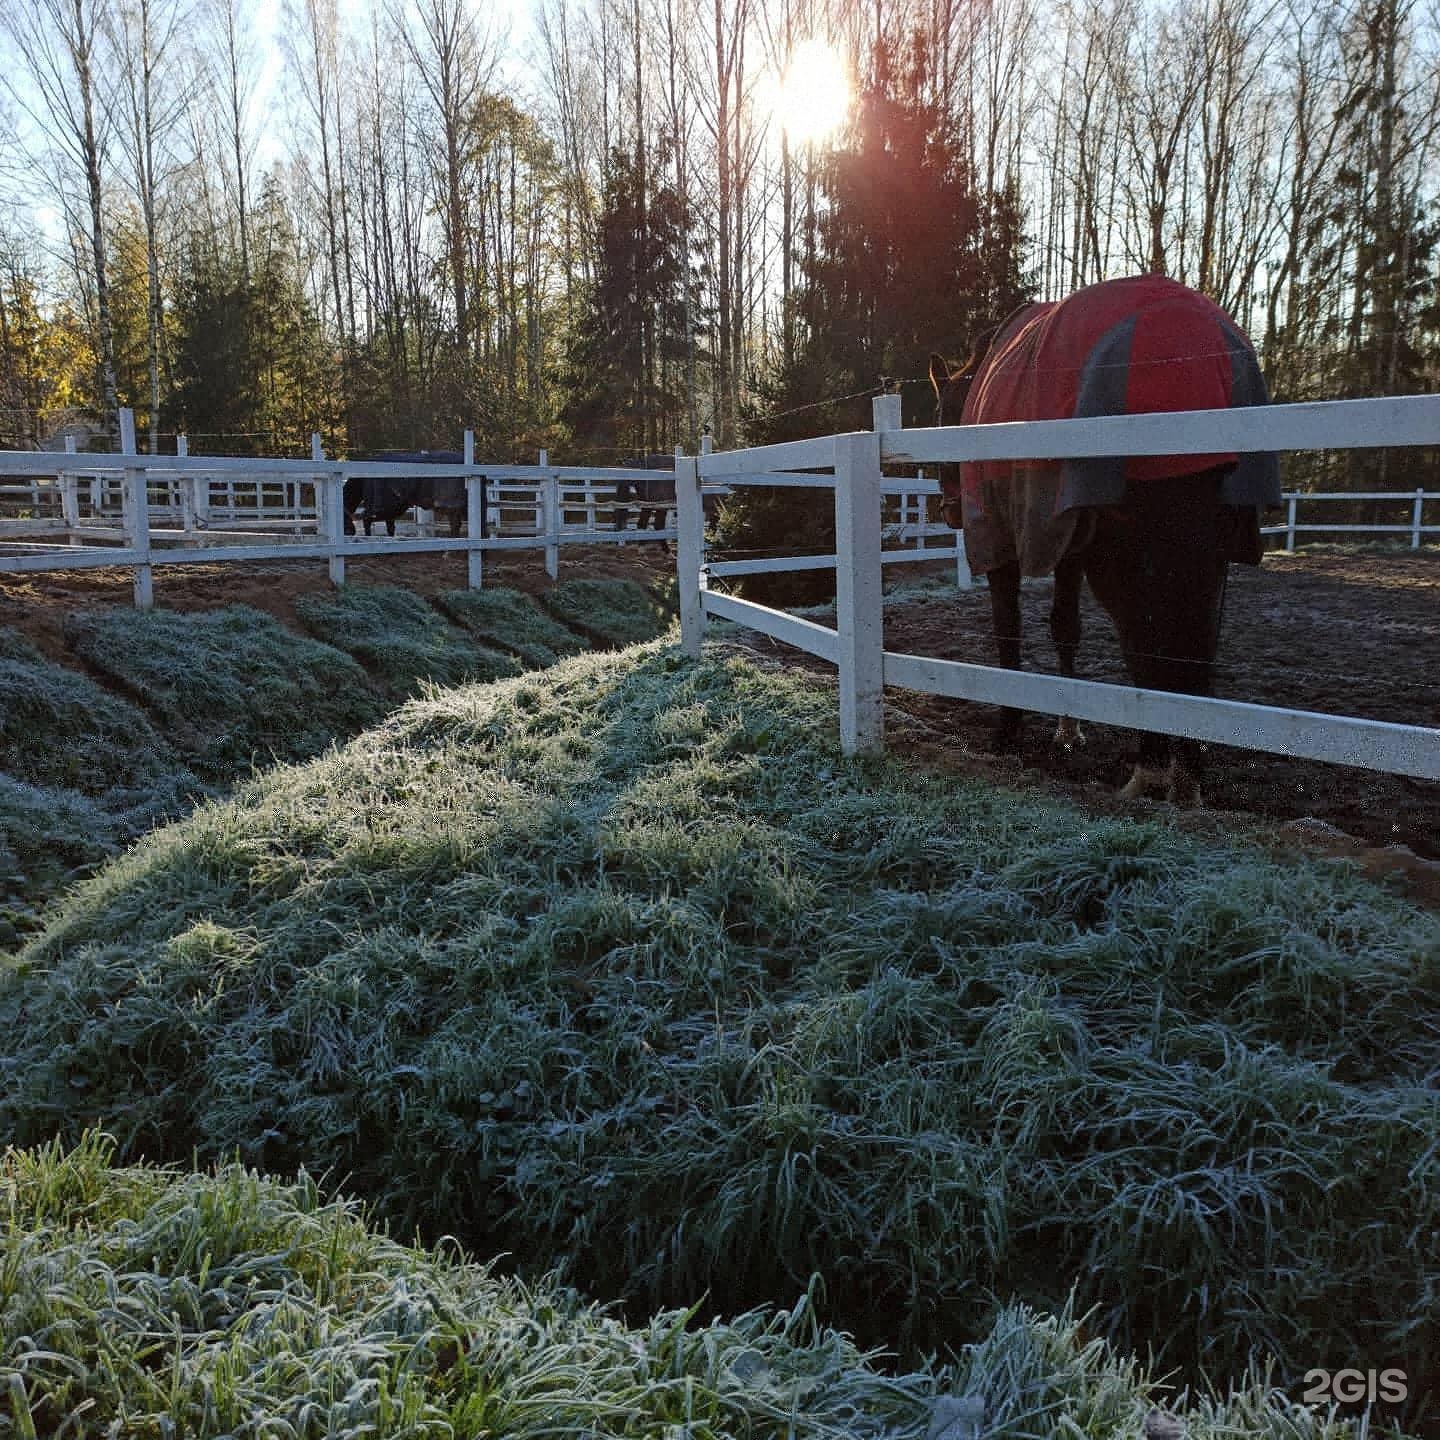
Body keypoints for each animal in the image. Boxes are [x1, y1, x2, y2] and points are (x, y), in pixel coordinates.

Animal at [933, 275, 1284, 806]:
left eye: (940, 415)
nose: (950, 509)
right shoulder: (1069, 545)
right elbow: (1065, 627)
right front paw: (1067, 730)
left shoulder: (1002, 541)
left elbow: (1008, 629)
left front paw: (1008, 731)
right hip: (1204, 551)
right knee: (1193, 647)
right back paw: (1187, 777)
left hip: (1128, 559)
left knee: (1146, 642)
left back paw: (1154, 769)